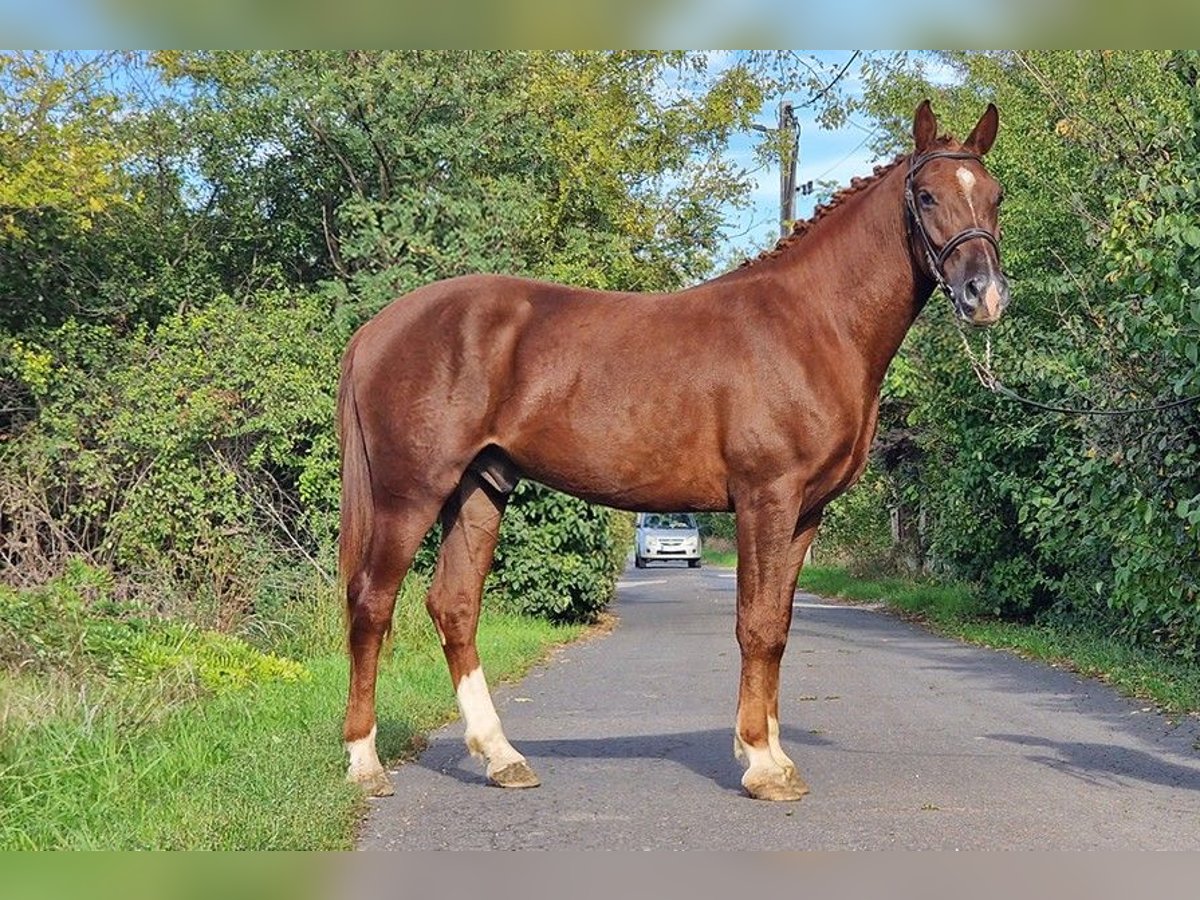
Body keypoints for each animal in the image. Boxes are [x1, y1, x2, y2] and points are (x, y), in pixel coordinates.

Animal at [333, 100, 1008, 801]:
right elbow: (755, 624)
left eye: (995, 195)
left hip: (479, 489)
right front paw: (762, 764)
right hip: (410, 493)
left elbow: (779, 626)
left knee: (454, 606)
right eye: (926, 196)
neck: (811, 324)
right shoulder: (766, 499)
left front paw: (771, 752)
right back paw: (365, 762)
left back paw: (502, 757)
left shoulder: (805, 513)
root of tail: (378, 328)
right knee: (372, 603)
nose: (983, 294)